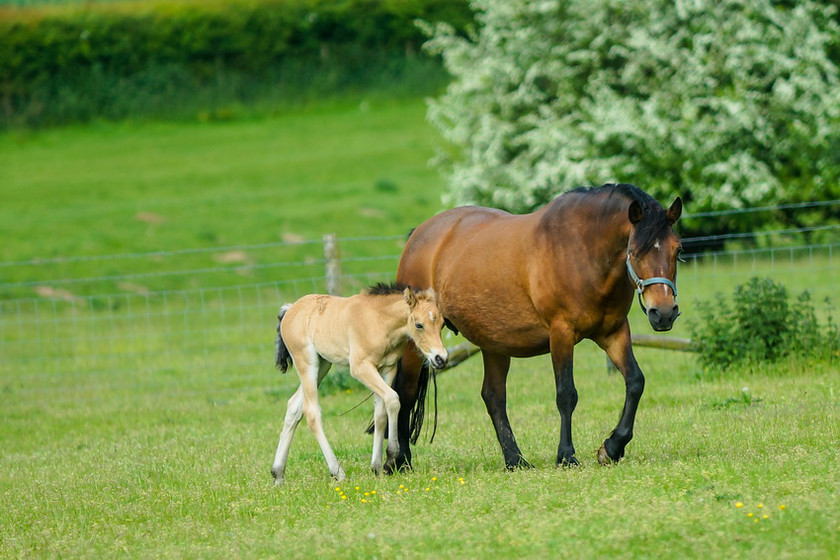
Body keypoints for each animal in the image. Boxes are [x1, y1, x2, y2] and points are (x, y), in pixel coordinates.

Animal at [274, 282, 446, 484]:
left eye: (442, 324)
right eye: (419, 325)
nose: (441, 358)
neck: (379, 321)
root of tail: (290, 309)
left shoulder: (387, 368)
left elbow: (381, 413)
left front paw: (377, 467)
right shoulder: (360, 367)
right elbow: (393, 399)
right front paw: (391, 456)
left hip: (323, 365)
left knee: (293, 406)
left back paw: (277, 474)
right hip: (307, 363)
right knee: (311, 412)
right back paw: (337, 472)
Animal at [394, 184, 684, 468]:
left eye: (678, 250)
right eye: (635, 252)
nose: (664, 313)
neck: (581, 250)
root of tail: (418, 235)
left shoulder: (613, 332)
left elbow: (635, 381)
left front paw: (611, 448)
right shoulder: (561, 333)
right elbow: (566, 394)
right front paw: (566, 455)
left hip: (494, 343)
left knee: (493, 396)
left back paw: (515, 460)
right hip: (415, 342)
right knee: (404, 392)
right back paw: (398, 461)